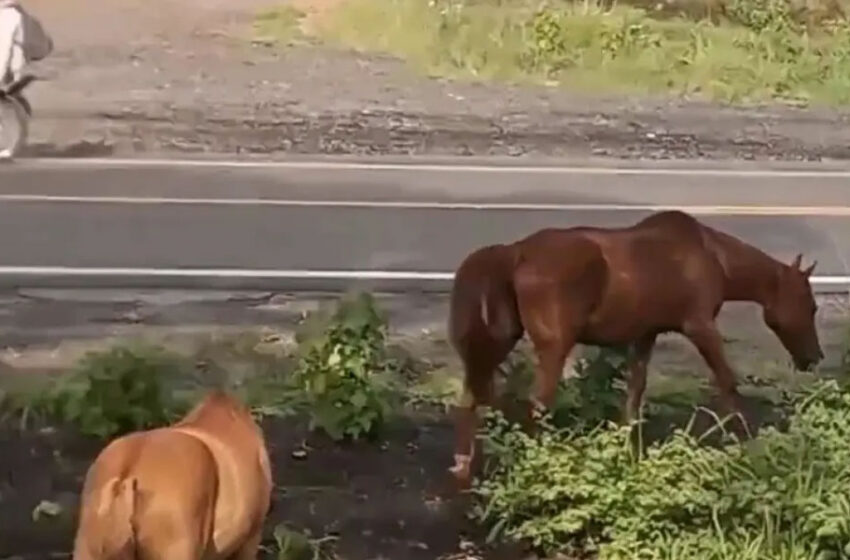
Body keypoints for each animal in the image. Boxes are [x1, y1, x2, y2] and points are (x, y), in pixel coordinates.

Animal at [448, 209, 820, 486]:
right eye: (810, 305)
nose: (814, 358)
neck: (713, 256)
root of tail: (515, 251)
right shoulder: (700, 326)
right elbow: (727, 381)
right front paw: (746, 439)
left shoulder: (646, 335)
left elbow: (634, 392)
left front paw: (626, 448)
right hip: (553, 347)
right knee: (538, 404)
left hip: (499, 339)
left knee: (471, 397)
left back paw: (463, 464)